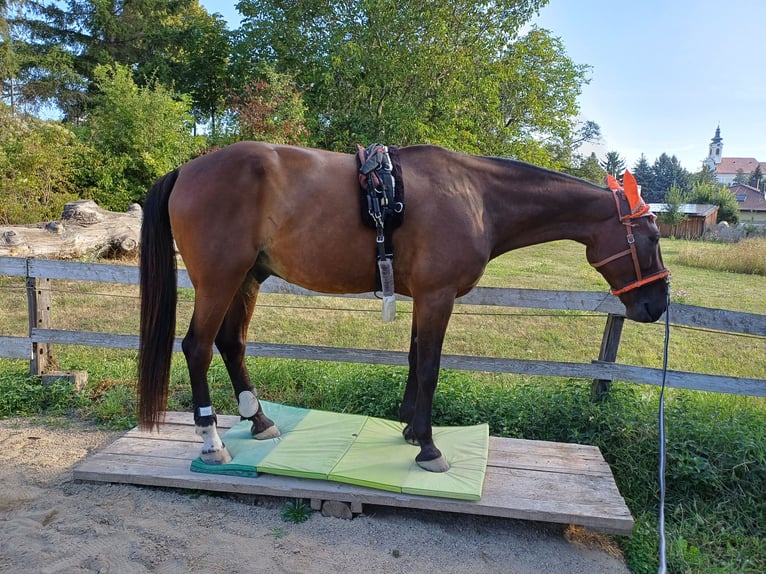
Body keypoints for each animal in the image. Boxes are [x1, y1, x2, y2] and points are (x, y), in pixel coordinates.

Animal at [141, 143, 668, 472]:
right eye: (651, 237)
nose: (657, 304)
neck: (477, 198)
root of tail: (187, 169)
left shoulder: (424, 298)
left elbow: (416, 361)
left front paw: (414, 431)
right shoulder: (437, 296)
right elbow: (431, 368)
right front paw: (430, 448)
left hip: (248, 277)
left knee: (231, 342)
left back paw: (260, 421)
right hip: (219, 279)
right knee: (198, 347)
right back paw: (212, 442)